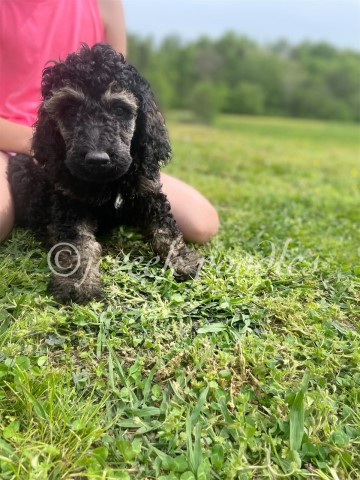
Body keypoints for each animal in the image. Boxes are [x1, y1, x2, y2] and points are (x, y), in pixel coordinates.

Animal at [8, 42, 201, 304]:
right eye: (70, 109)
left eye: (119, 109)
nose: (97, 160)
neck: (108, 183)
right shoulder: (69, 202)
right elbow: (78, 242)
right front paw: (77, 283)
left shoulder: (147, 190)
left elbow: (165, 227)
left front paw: (182, 260)